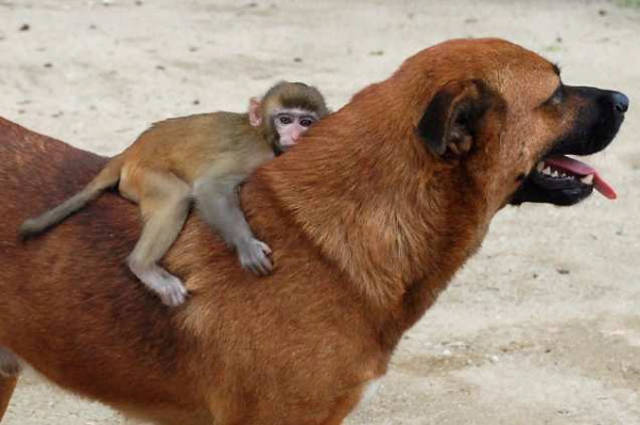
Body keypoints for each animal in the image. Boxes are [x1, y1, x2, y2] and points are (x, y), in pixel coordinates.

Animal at [20, 80, 330, 304]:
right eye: (285, 120)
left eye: (306, 122)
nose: (295, 136)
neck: (264, 135)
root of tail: (131, 151)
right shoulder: (256, 155)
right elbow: (211, 187)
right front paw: (246, 245)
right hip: (144, 176)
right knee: (175, 196)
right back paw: (143, 266)